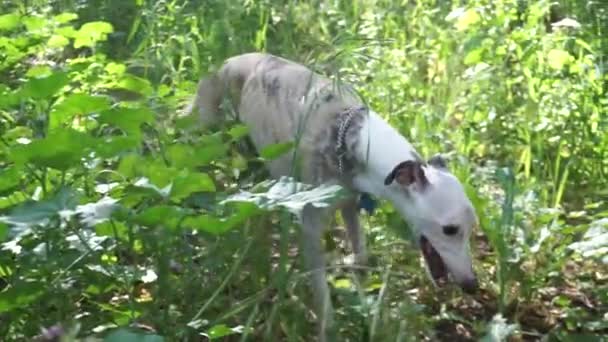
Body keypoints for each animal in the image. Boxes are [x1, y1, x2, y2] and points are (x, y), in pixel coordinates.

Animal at [186, 52, 480, 340]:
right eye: (450, 229)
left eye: (471, 228)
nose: (472, 285)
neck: (350, 136)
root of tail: (223, 63)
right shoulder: (310, 225)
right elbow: (322, 296)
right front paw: (329, 326)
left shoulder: (350, 202)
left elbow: (361, 256)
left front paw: (356, 283)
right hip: (208, 136)